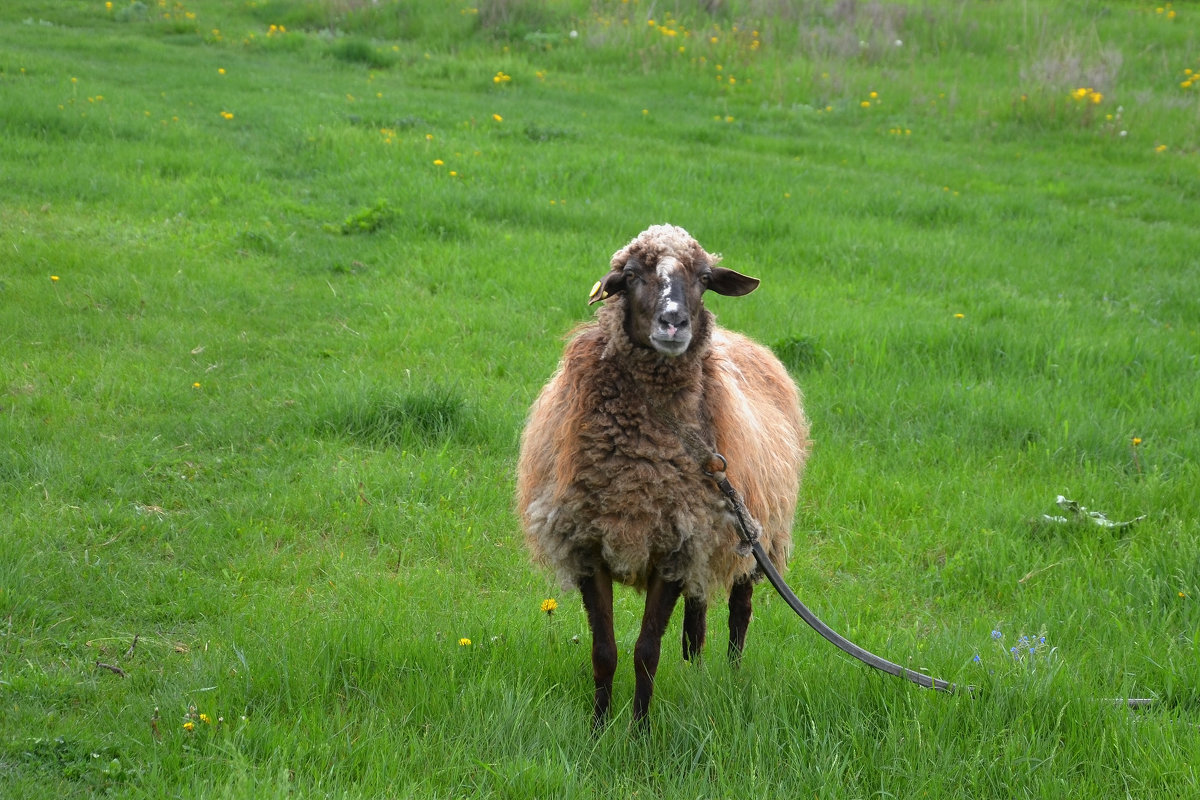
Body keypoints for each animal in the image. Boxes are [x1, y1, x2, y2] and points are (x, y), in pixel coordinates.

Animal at [518, 221, 811, 729]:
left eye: (705, 278)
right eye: (631, 275)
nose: (674, 322)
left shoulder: (675, 549)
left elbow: (646, 654)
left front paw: (638, 733)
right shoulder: (592, 544)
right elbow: (604, 653)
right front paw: (598, 730)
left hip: (752, 533)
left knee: (739, 611)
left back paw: (731, 676)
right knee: (697, 617)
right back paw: (694, 671)